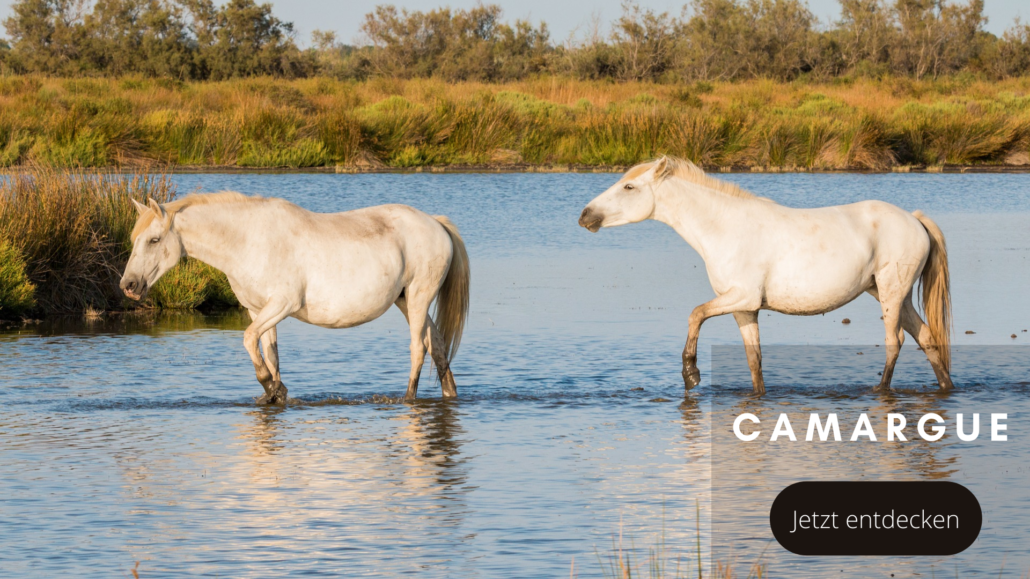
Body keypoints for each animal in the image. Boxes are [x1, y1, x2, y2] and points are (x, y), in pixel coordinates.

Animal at [120, 191, 471, 403]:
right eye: (135, 239)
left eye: (154, 240)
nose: (129, 285)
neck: (248, 240)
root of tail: (436, 223)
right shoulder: (258, 310)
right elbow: (270, 353)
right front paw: (275, 393)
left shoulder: (282, 305)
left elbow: (248, 340)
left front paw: (271, 387)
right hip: (406, 300)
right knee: (438, 347)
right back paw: (450, 394)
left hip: (419, 297)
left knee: (418, 349)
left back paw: (408, 399)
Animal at [576, 156, 951, 391]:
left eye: (629, 188)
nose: (585, 215)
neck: (724, 227)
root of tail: (914, 219)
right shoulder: (744, 309)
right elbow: (754, 361)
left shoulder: (741, 296)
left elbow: (695, 314)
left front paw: (691, 374)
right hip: (895, 295)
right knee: (928, 339)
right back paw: (947, 385)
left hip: (891, 293)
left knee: (895, 343)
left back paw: (880, 390)